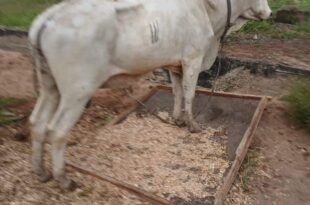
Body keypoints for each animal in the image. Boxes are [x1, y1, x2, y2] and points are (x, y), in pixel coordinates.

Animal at [29, 0, 272, 189]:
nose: (270, 12)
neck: (209, 11)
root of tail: (50, 16)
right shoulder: (193, 58)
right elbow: (190, 94)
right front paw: (192, 125)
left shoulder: (175, 65)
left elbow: (177, 92)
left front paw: (177, 119)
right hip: (77, 91)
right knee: (57, 131)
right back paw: (63, 179)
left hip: (50, 86)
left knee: (38, 122)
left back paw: (40, 171)